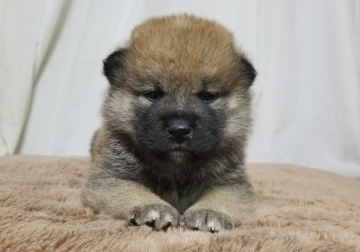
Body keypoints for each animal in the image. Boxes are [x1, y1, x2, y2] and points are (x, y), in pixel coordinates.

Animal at [82, 14, 256, 232]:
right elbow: (132, 191)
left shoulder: (233, 184)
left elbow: (220, 197)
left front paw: (209, 212)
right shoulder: (110, 178)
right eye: (152, 94)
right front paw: (152, 207)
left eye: (208, 96)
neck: (176, 168)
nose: (179, 130)